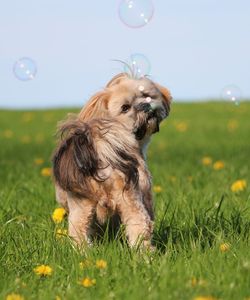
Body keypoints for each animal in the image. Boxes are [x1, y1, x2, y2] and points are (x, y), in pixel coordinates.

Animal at [52, 72, 172, 248]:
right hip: (130, 200)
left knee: (78, 231)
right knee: (139, 227)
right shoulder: (144, 192)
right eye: (125, 107)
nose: (145, 105)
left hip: (80, 204)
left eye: (146, 95)